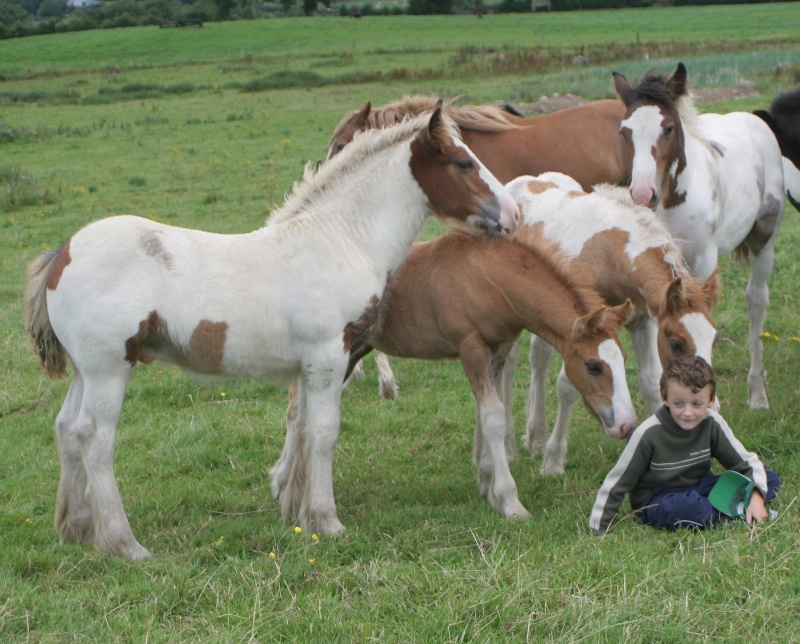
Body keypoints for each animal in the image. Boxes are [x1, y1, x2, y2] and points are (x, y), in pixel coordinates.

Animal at [23, 108, 520, 560]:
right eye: (463, 162)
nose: (513, 214)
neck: (342, 237)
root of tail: (63, 251)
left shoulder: (308, 365)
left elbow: (299, 426)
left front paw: (297, 510)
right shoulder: (328, 355)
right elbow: (323, 432)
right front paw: (327, 519)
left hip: (85, 371)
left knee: (66, 428)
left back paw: (75, 528)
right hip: (110, 369)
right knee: (95, 437)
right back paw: (124, 543)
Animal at [506, 174, 720, 476]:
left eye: (714, 338)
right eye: (677, 343)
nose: (711, 404)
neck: (610, 250)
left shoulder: (642, 321)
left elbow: (652, 381)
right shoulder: (585, 331)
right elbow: (568, 385)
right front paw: (553, 460)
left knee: (538, 357)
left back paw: (535, 435)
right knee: (507, 366)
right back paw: (508, 446)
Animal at [616, 64, 784, 408]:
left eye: (668, 128)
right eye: (625, 131)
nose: (642, 193)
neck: (671, 201)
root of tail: (753, 119)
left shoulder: (703, 259)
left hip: (764, 237)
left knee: (756, 300)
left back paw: (758, 393)